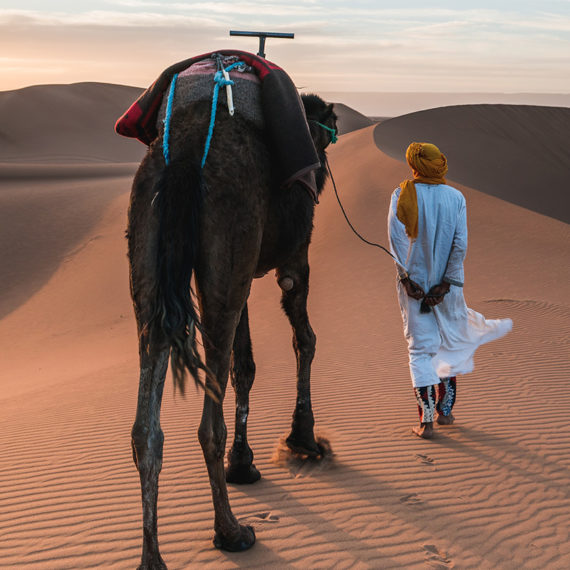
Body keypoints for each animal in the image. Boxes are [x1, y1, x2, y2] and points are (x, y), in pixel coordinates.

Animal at [125, 69, 336, 564]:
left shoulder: (244, 275)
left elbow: (246, 365)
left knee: (147, 429)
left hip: (152, 254)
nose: (322, 169)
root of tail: (185, 156)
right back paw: (231, 531)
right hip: (229, 243)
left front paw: (244, 462)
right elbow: (305, 339)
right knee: (208, 424)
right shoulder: (294, 262)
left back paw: (153, 558)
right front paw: (303, 438)